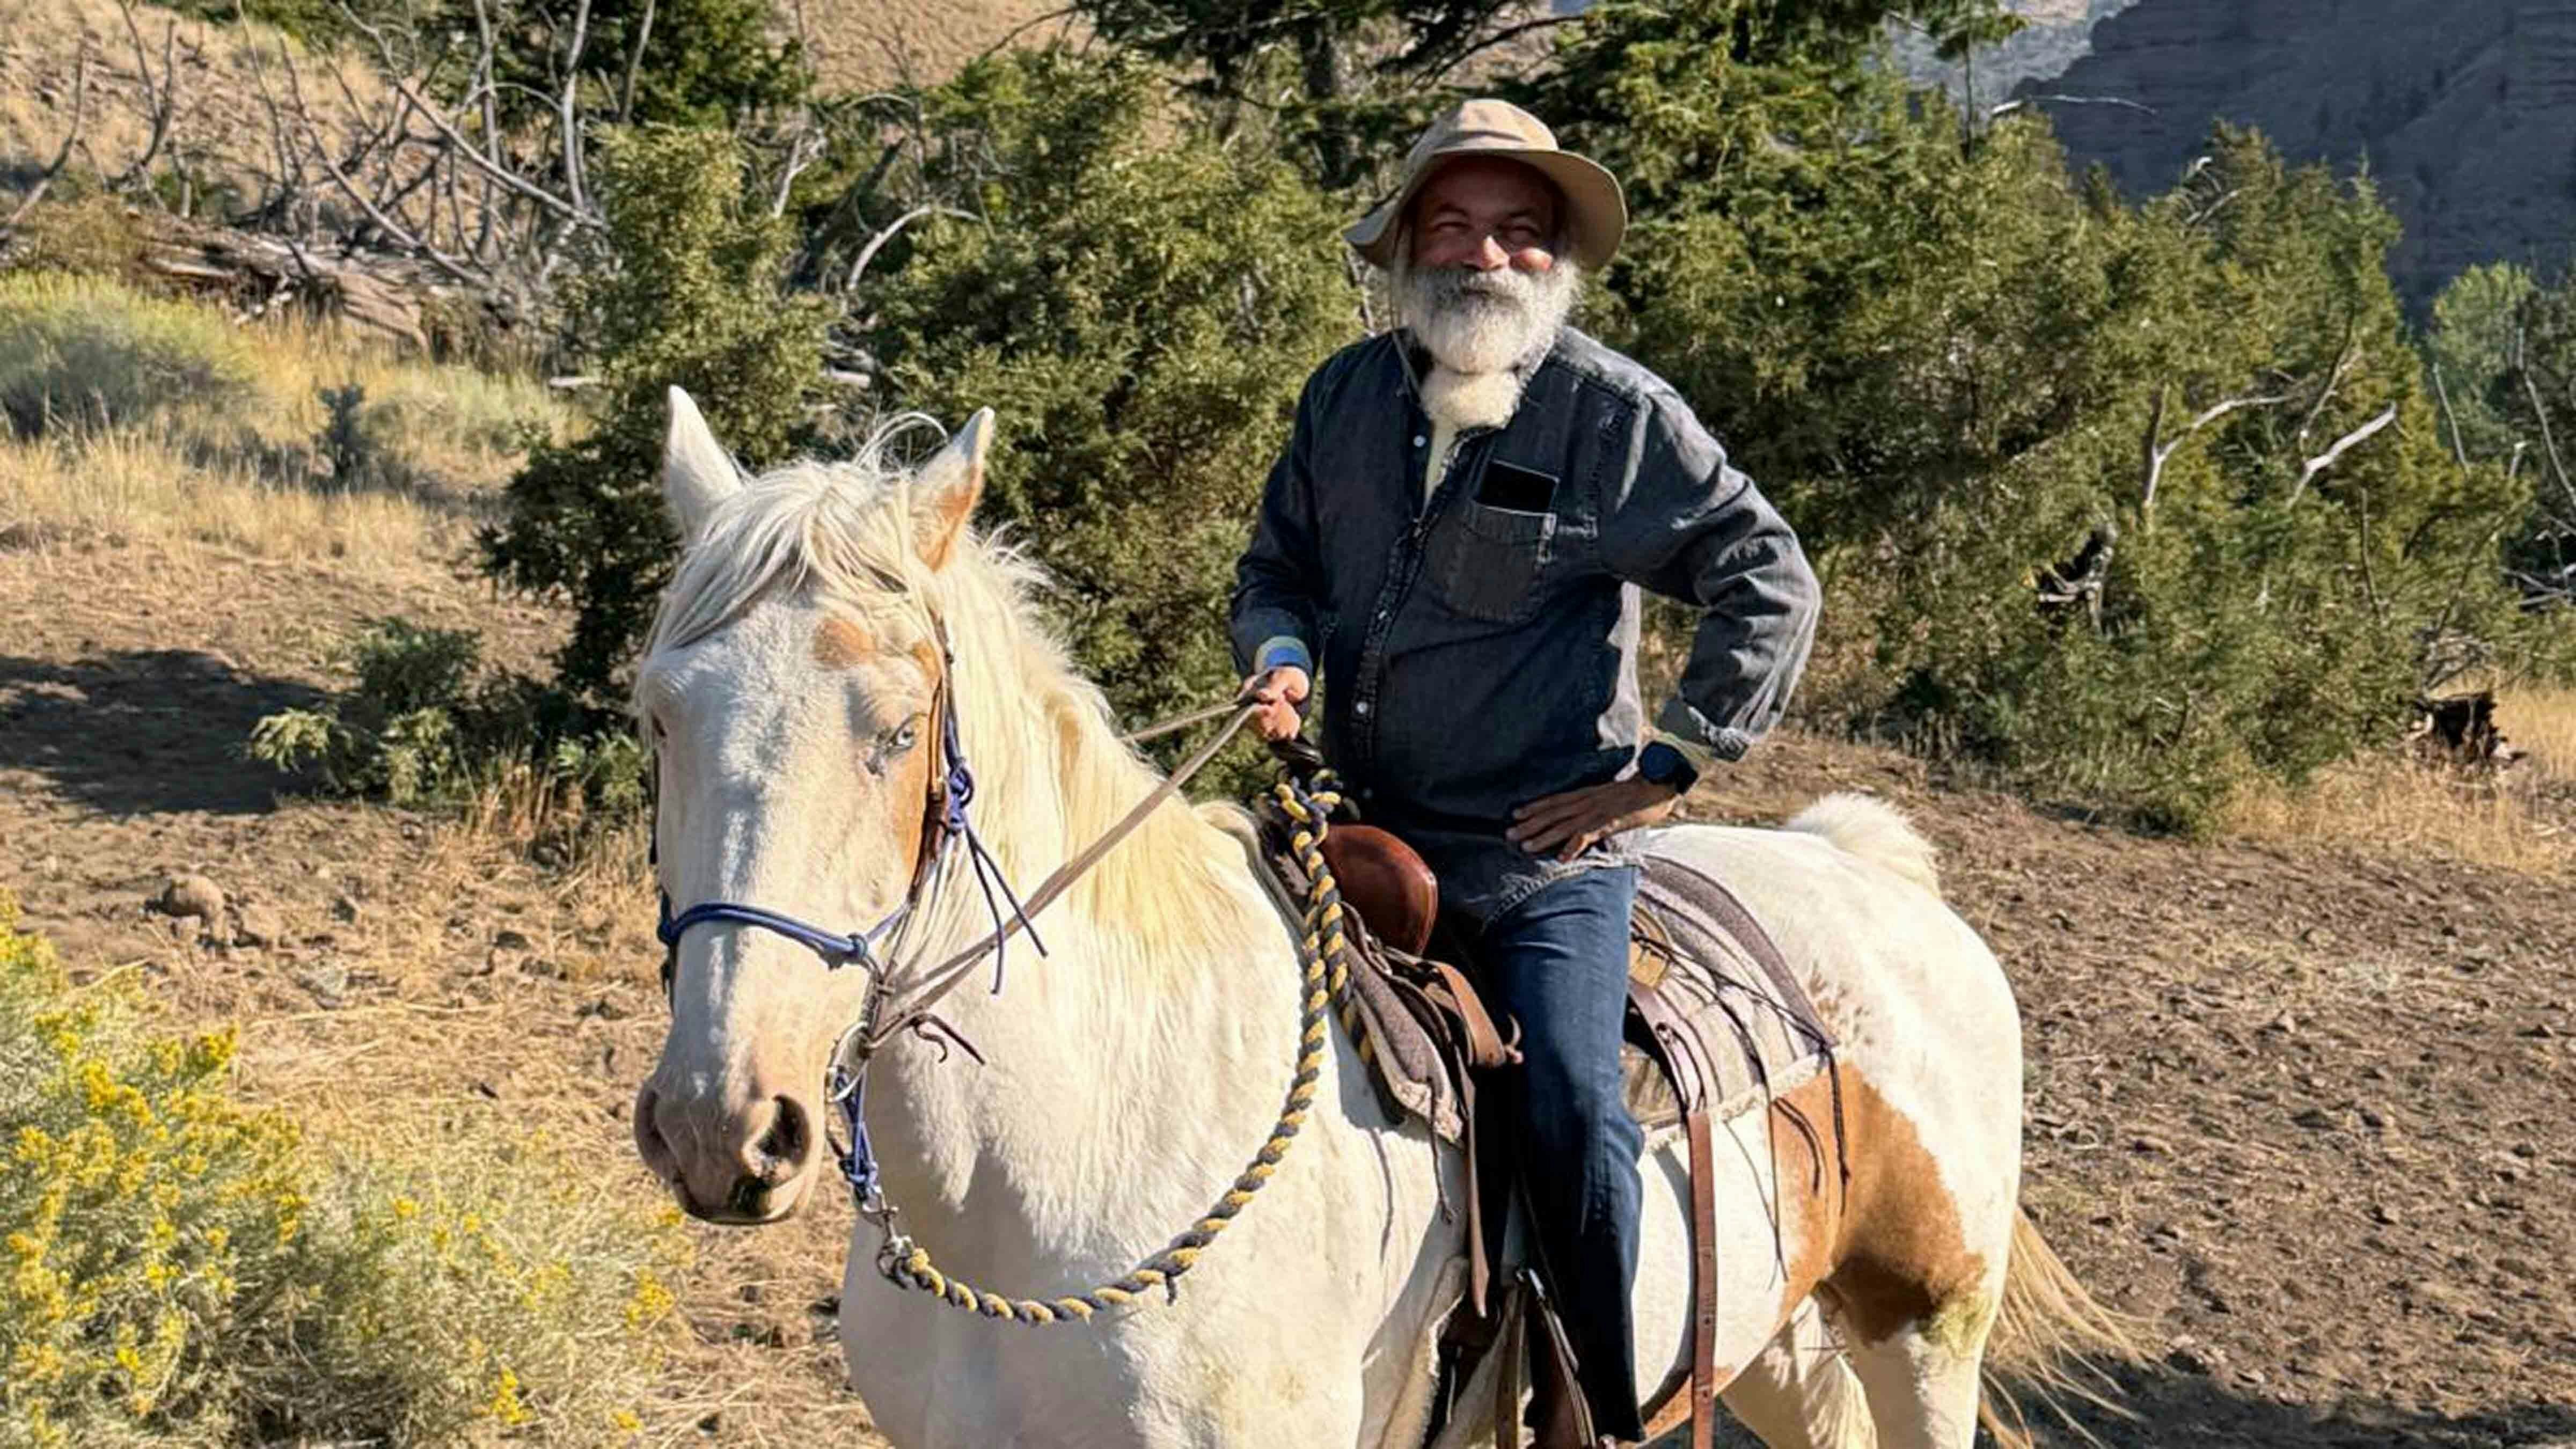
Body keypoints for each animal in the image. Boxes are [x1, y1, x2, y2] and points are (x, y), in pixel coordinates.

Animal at [629, 390, 2136, 1449]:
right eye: (659, 715)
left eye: (896, 731)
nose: (723, 1124)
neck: (1076, 1157)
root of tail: (1870, 871)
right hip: (1777, 1348)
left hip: (1923, 1338)